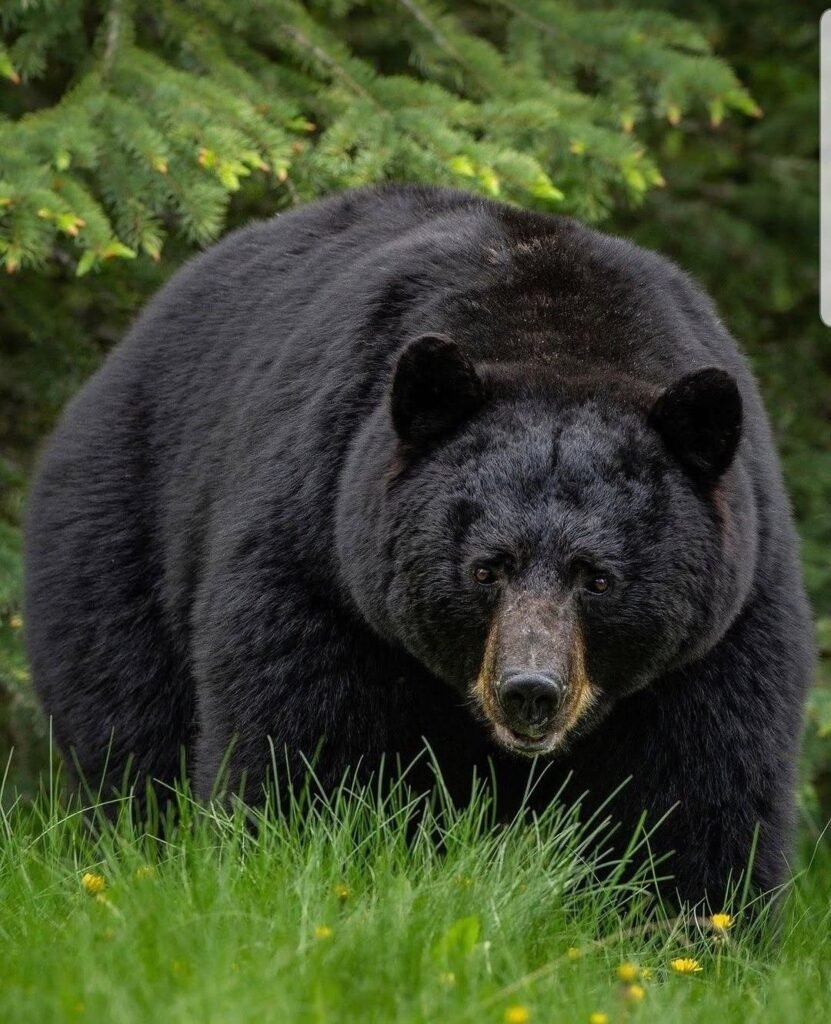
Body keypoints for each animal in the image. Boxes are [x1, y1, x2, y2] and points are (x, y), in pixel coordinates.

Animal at [24, 184, 814, 909]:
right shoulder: (319, 557)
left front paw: (691, 926)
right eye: (486, 568)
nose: (530, 692)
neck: (556, 333)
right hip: (123, 532)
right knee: (127, 732)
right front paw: (300, 871)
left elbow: (700, 792)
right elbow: (304, 748)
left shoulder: (727, 621)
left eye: (598, 578)